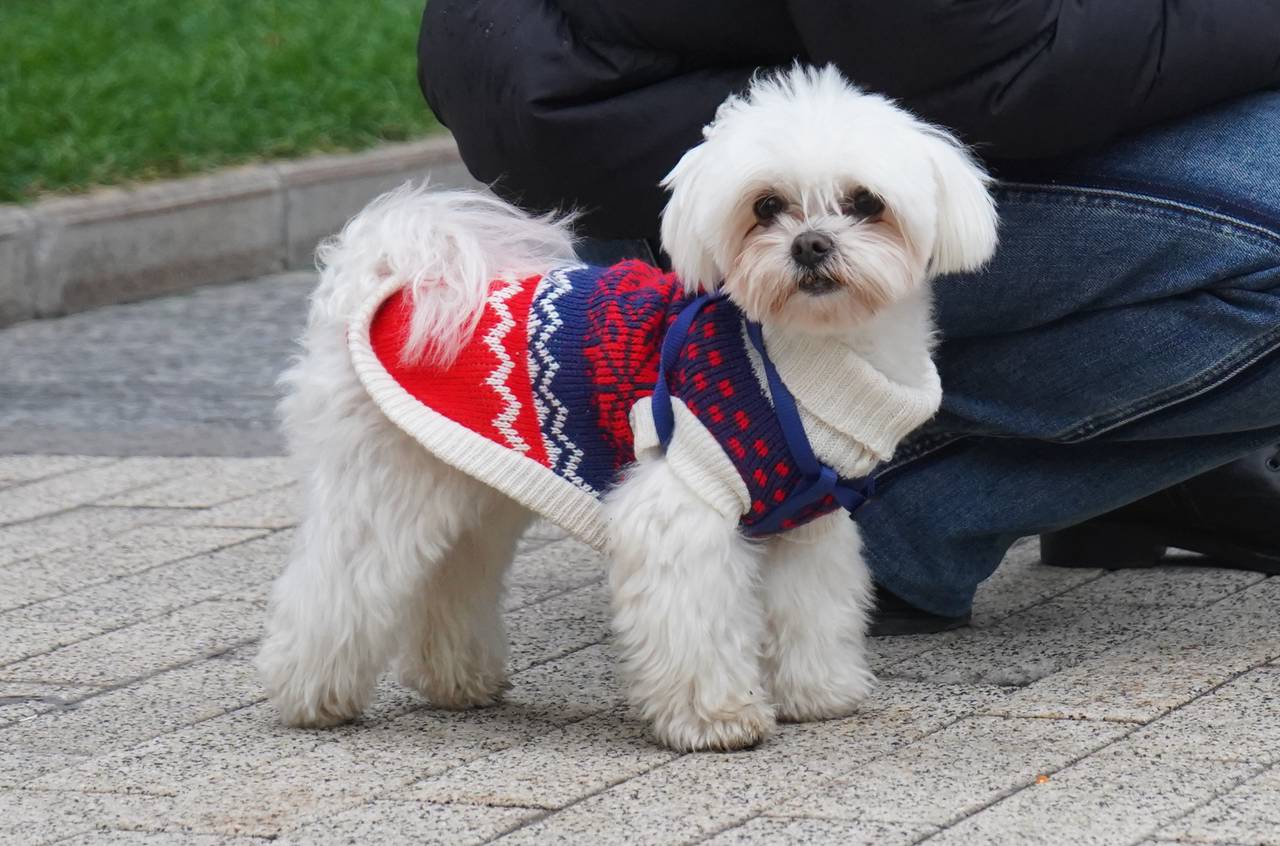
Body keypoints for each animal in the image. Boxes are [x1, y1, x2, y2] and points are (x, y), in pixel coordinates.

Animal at [257, 65, 998, 752]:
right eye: (765, 206)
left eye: (866, 202)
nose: (810, 244)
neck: (804, 357)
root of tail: (384, 285)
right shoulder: (681, 506)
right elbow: (697, 619)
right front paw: (716, 718)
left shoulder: (807, 525)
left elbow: (810, 612)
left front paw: (817, 692)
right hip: (383, 486)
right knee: (336, 585)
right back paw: (311, 695)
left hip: (472, 494)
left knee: (452, 581)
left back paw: (457, 679)